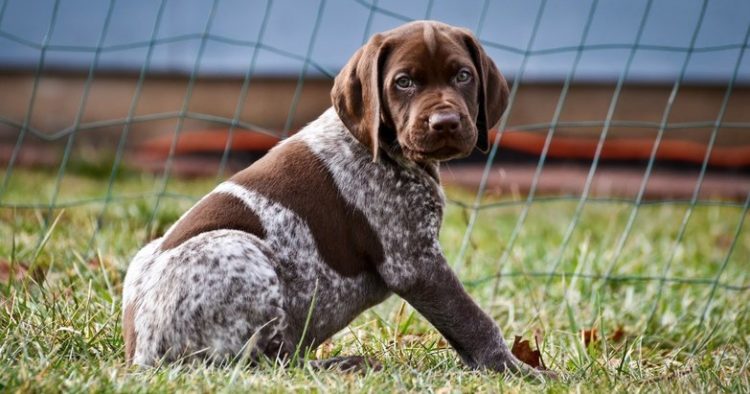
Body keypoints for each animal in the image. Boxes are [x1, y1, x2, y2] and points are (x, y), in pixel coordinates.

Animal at [123, 20, 548, 378]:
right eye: (404, 82)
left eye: (463, 76)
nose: (445, 123)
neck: (383, 148)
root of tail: (141, 353)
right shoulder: (416, 263)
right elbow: (473, 321)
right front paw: (519, 371)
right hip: (238, 250)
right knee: (266, 364)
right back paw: (342, 364)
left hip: (148, 253)